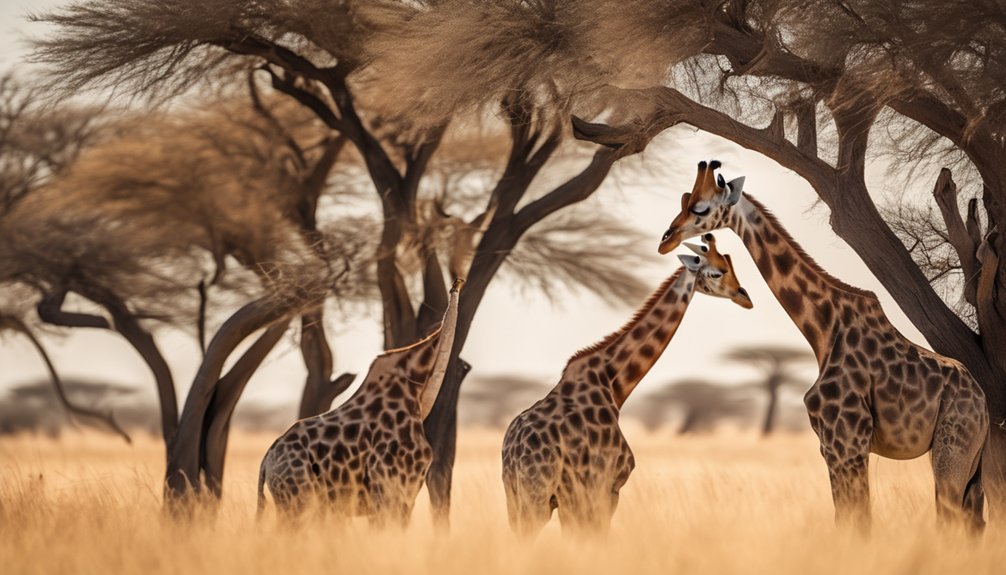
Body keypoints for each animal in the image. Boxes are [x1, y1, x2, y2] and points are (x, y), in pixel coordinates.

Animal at [257, 278, 463, 525]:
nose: (458, 281)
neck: (417, 391)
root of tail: (266, 462)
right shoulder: (393, 490)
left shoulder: (399, 495)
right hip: (298, 501)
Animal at [501, 237, 753, 538]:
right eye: (716, 272)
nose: (744, 296)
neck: (614, 383)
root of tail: (515, 451)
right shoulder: (605, 486)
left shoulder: (581, 494)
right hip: (535, 495)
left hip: (515, 495)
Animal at [658, 160, 989, 531]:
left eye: (700, 208)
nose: (666, 239)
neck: (823, 327)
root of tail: (984, 406)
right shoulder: (830, 446)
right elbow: (847, 518)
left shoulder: (848, 442)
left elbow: (858, 520)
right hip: (969, 462)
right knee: (973, 521)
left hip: (952, 450)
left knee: (949, 518)